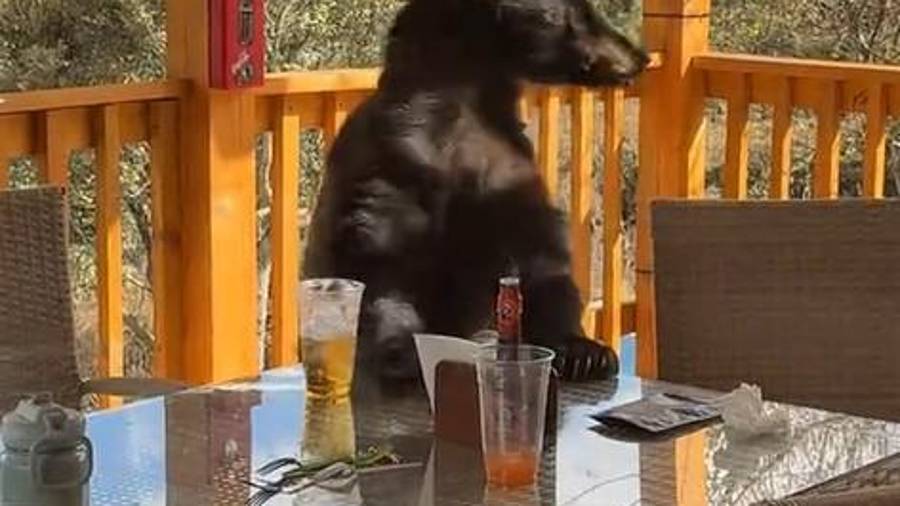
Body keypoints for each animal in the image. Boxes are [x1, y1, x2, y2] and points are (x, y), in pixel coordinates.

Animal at [303, 0, 649, 382]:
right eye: (582, 13)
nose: (640, 57)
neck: (465, 102)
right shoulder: (397, 160)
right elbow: (382, 263)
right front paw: (401, 349)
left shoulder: (506, 174)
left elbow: (544, 263)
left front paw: (585, 352)